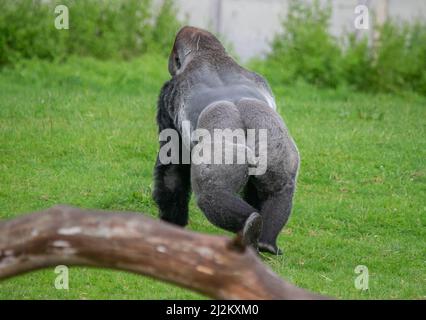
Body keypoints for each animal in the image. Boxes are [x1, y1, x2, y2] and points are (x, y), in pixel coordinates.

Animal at [154, 25, 300, 255]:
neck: (208, 54)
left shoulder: (167, 94)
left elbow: (172, 165)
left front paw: (171, 225)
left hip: (225, 150)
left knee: (212, 193)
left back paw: (251, 227)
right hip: (274, 143)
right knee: (279, 188)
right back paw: (266, 241)